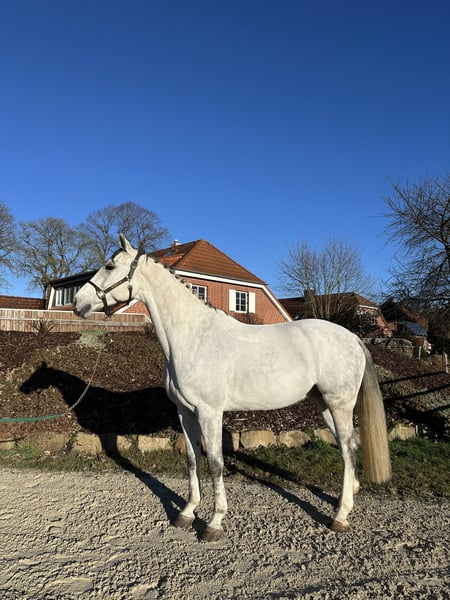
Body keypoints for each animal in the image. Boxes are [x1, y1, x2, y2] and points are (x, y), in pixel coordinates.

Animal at [73, 234, 391, 542]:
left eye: (110, 266)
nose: (78, 302)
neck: (194, 338)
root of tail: (352, 337)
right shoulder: (185, 413)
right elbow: (192, 460)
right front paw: (187, 513)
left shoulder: (209, 413)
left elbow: (215, 463)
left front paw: (214, 523)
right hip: (324, 404)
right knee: (348, 446)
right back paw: (348, 497)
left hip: (339, 404)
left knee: (348, 449)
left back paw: (340, 515)